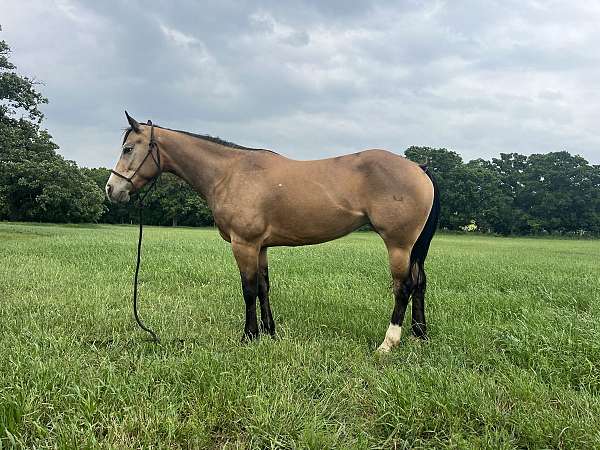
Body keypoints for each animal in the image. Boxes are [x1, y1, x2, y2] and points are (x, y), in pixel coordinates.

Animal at [104, 111, 440, 352]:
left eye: (128, 148)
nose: (111, 189)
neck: (229, 173)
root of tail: (418, 168)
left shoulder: (243, 244)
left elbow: (248, 289)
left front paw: (249, 336)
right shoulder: (261, 246)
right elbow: (264, 287)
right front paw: (270, 332)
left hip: (398, 245)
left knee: (403, 288)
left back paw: (388, 343)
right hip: (413, 248)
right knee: (420, 283)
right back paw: (419, 335)